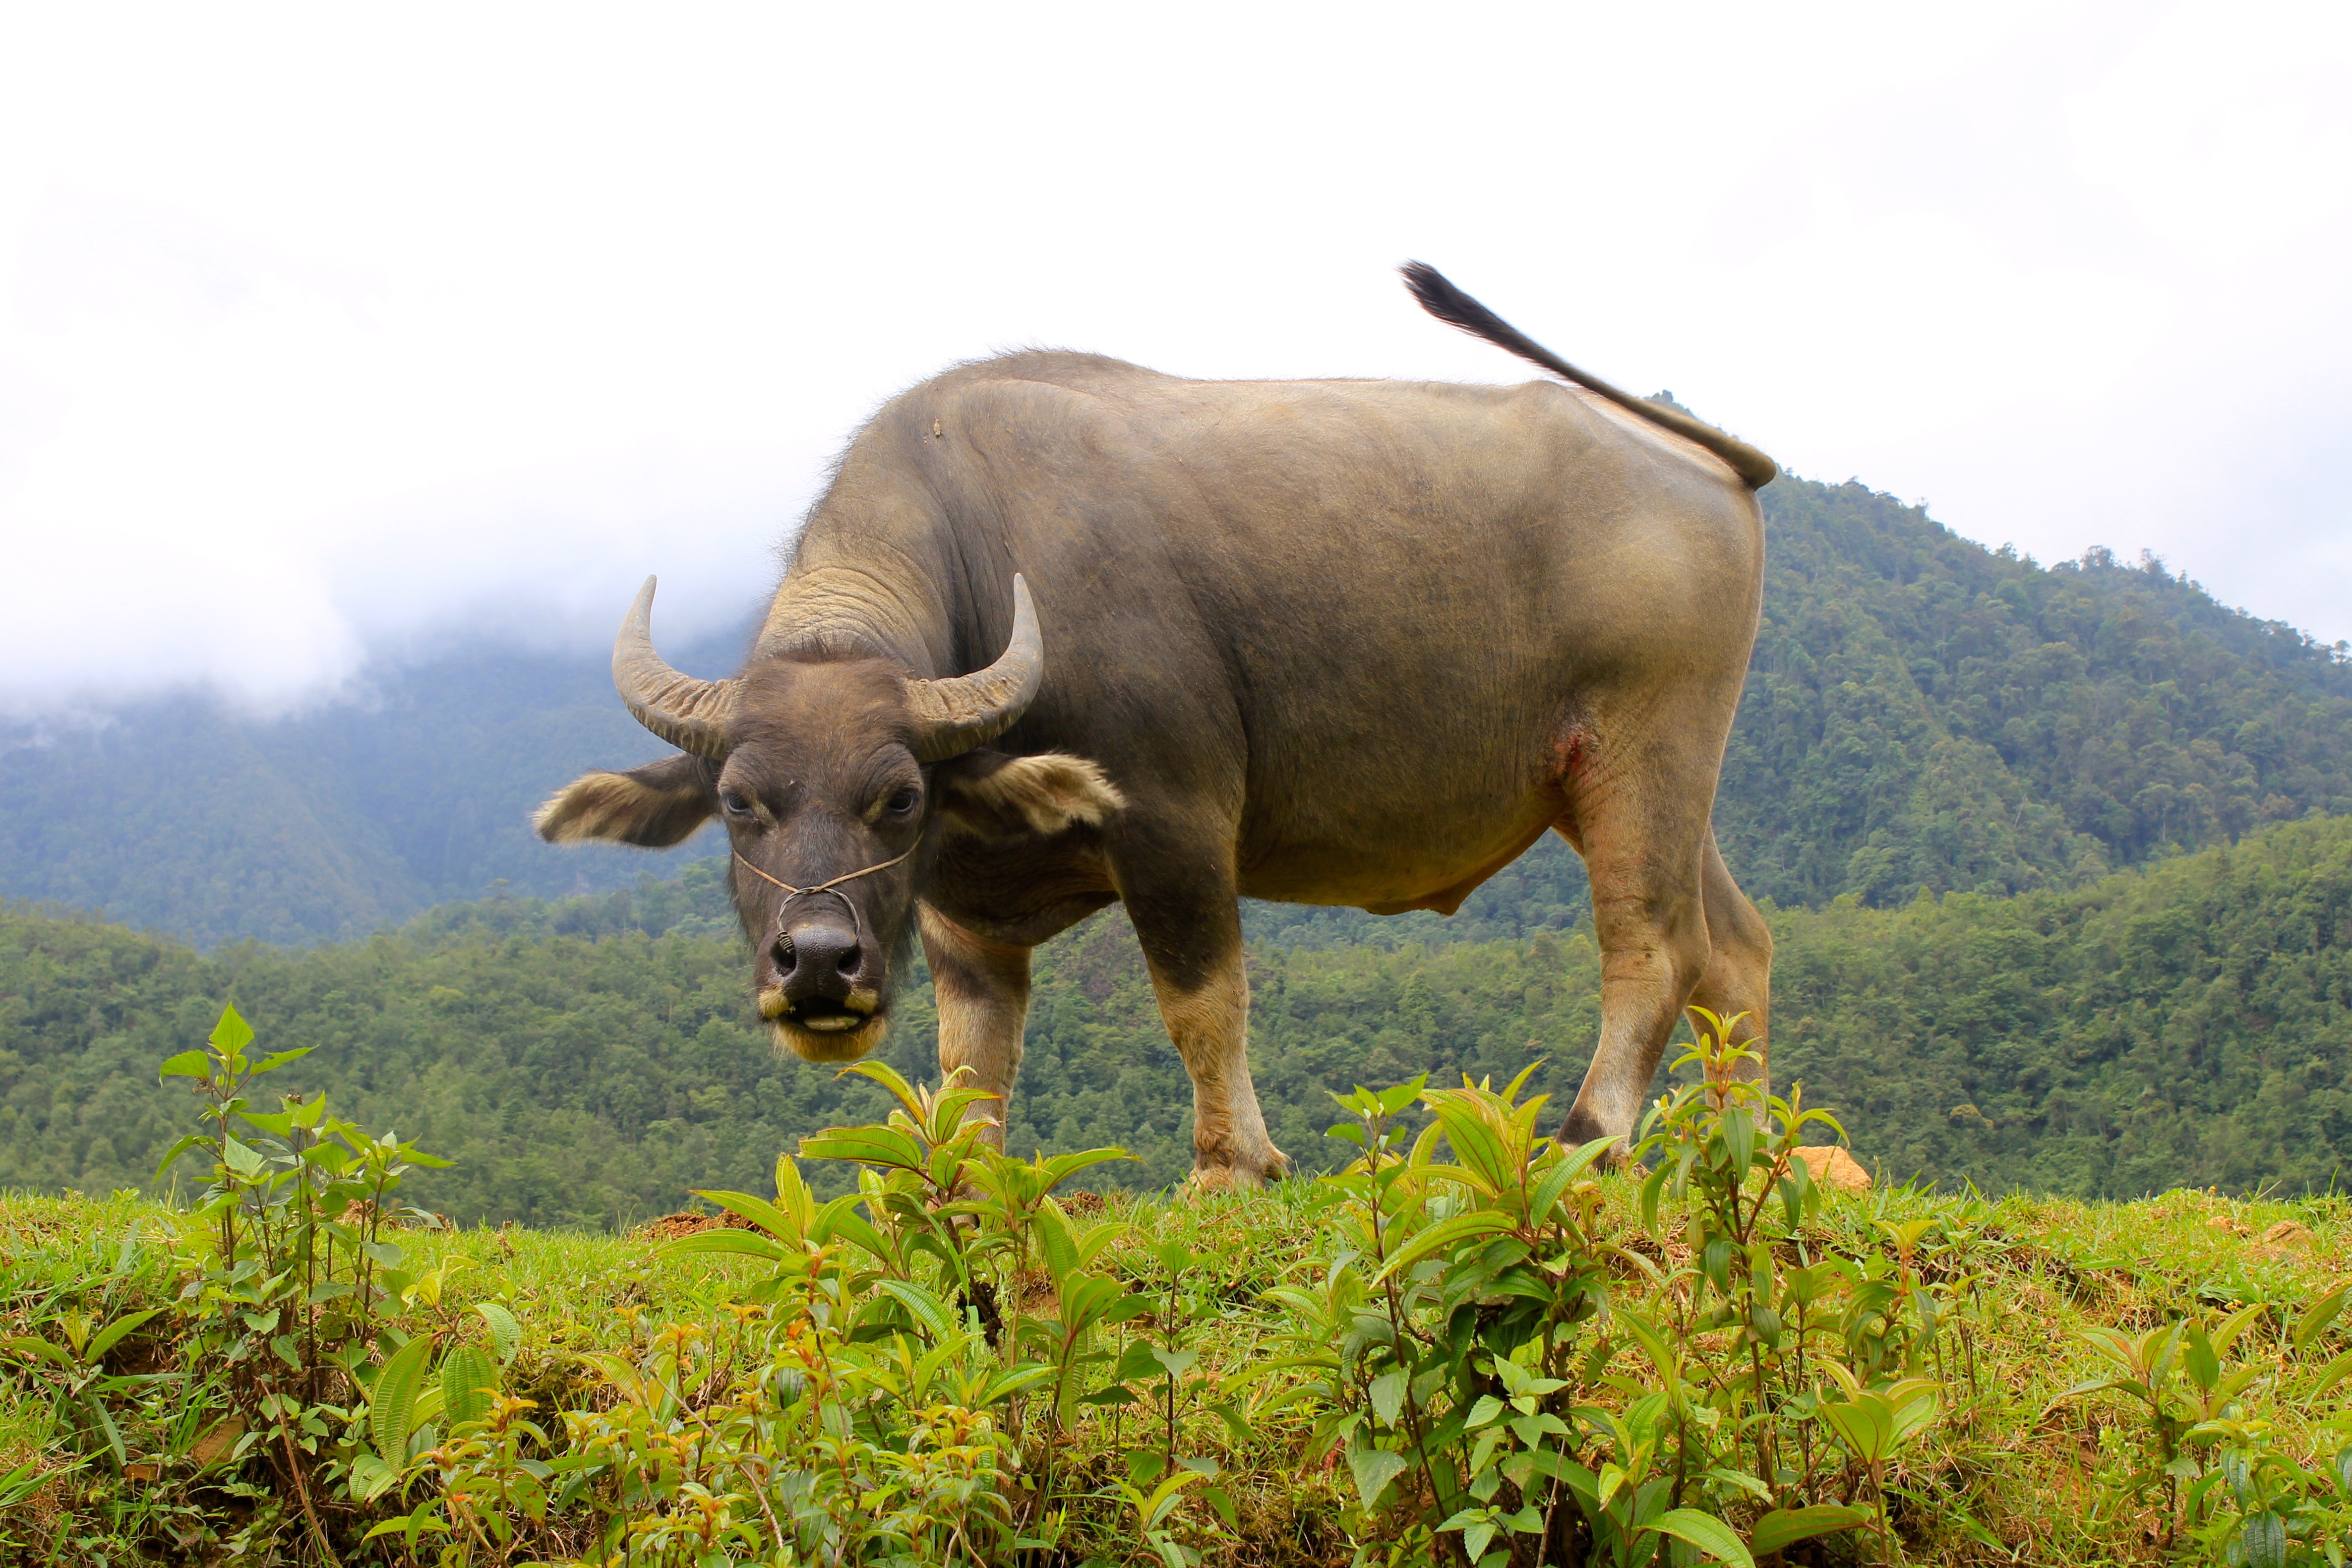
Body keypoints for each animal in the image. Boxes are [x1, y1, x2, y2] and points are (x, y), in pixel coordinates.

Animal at [538, 263, 1778, 1184]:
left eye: (897, 797)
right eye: (739, 805)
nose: (817, 964)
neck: (984, 556)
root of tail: (1692, 458)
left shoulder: (1174, 821)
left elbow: (1200, 999)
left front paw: (1232, 1165)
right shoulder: (959, 916)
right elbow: (972, 1060)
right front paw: (969, 1180)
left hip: (1644, 750)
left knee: (1651, 946)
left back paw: (1590, 1139)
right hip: (1634, 780)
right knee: (1735, 946)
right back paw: (1752, 1148)